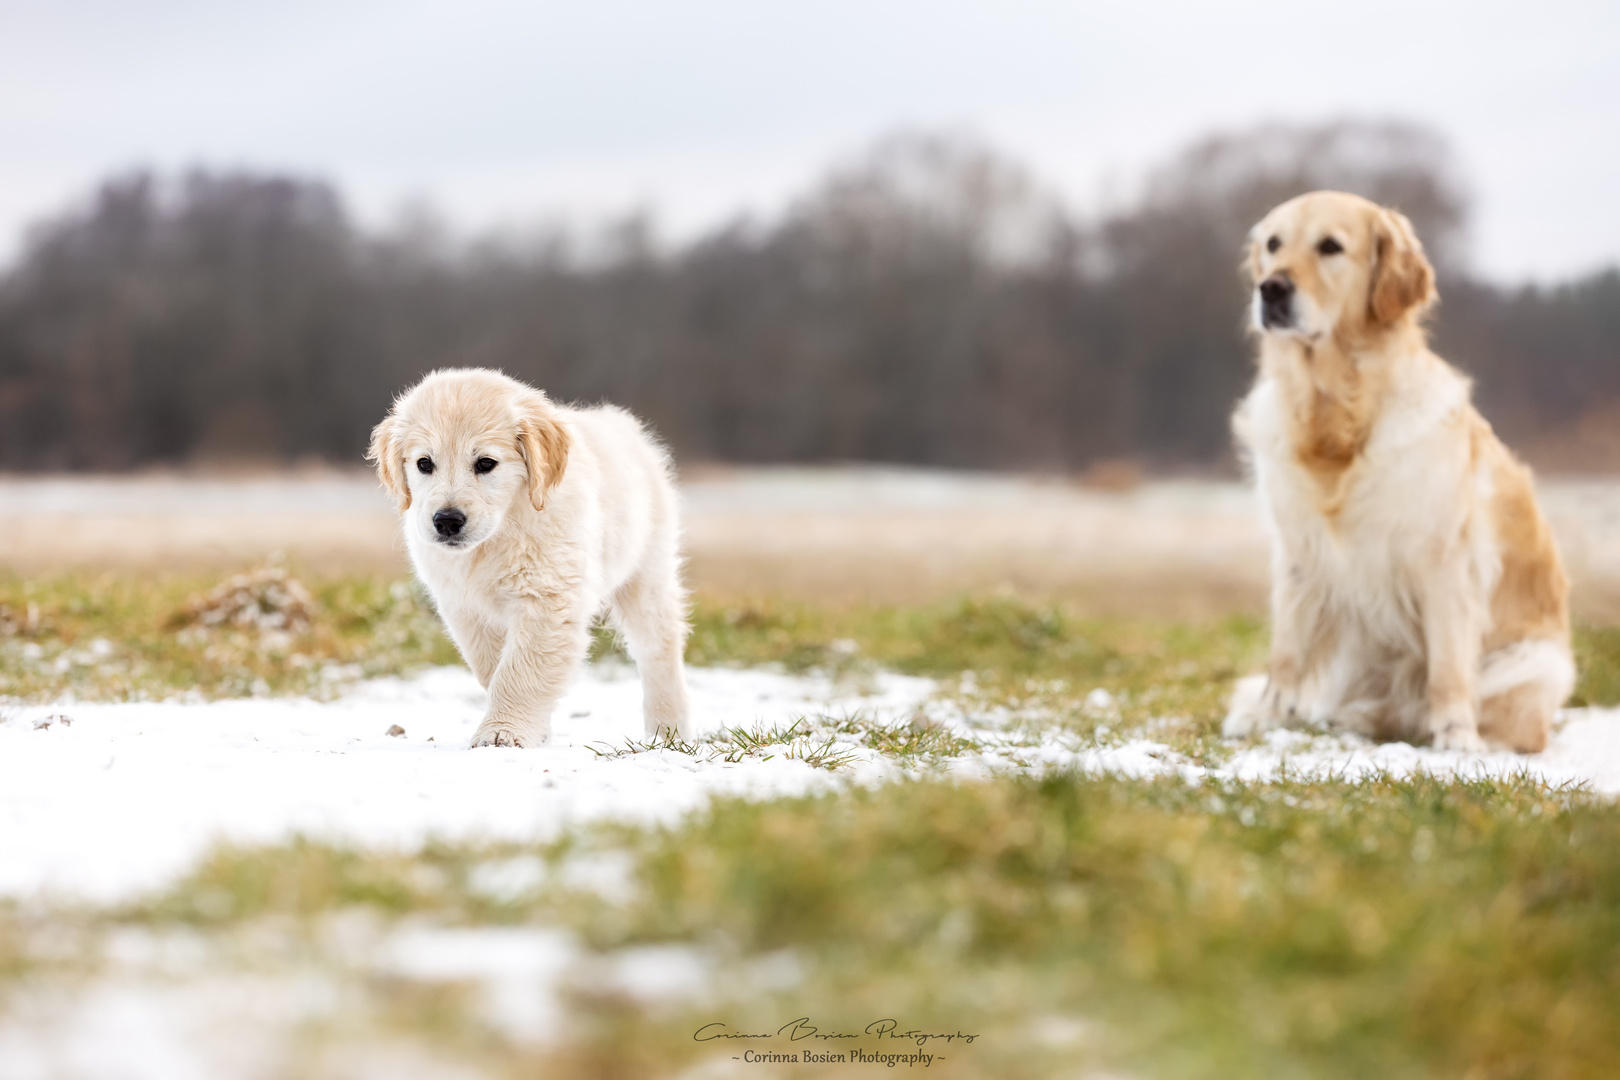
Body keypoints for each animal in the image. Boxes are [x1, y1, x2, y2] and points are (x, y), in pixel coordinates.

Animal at [367, 367, 690, 748]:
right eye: (424, 464)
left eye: (486, 463)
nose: (446, 521)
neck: (500, 534)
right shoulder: (466, 609)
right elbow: (493, 667)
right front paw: (533, 729)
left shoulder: (549, 599)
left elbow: (520, 670)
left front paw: (502, 731)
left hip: (647, 575)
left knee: (659, 650)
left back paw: (668, 731)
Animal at [1224, 191, 1568, 751]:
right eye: (1273, 244)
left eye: (1330, 246)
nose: (1270, 287)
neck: (1336, 410)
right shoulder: (1297, 551)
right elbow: (1287, 647)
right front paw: (1267, 714)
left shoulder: (1444, 559)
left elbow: (1448, 665)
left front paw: (1457, 737)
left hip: (1534, 663)